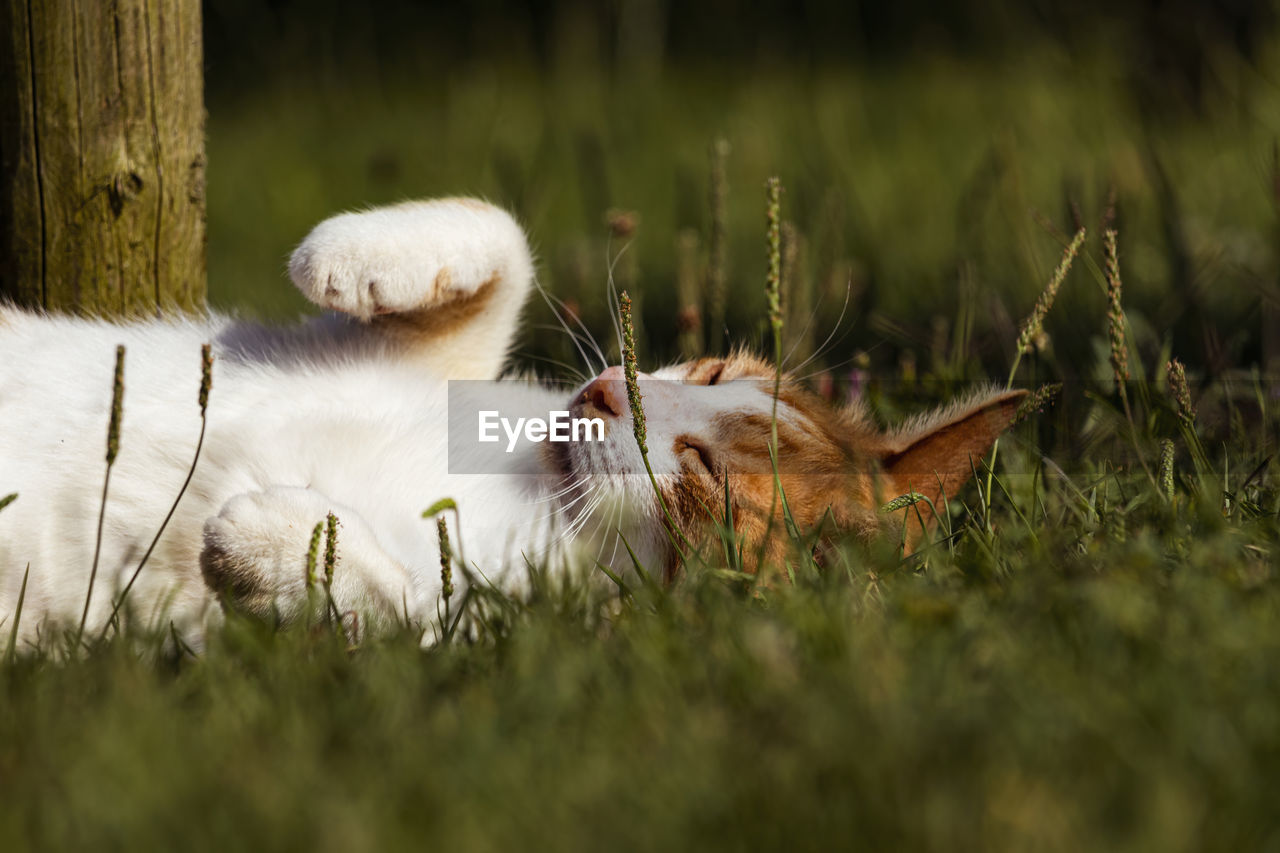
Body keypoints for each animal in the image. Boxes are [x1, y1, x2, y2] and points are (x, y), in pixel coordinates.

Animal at [0, 194, 1018, 645]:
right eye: (717, 370)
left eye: (702, 471)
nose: (608, 392)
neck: (534, 483)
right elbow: (505, 232)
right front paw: (352, 255)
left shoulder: (497, 645)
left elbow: (401, 608)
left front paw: (281, 541)